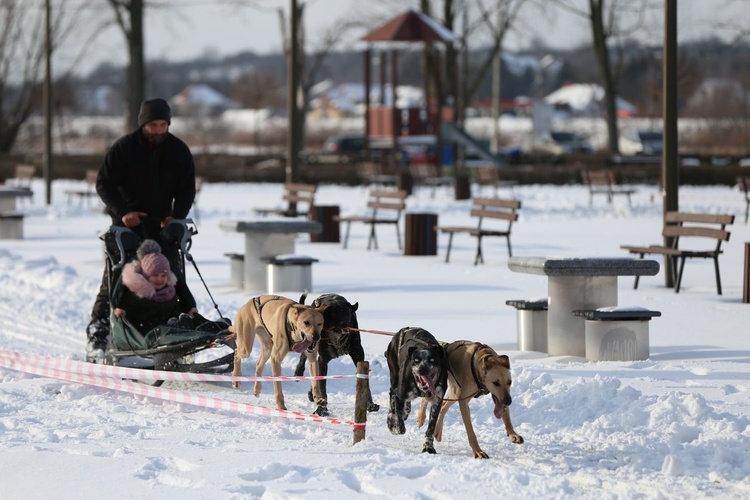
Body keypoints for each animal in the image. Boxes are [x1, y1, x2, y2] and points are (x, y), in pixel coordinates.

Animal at [388, 326, 446, 456]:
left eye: (432, 359)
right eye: (416, 360)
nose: (422, 369)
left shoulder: (436, 401)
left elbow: (431, 428)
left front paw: (428, 446)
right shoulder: (400, 395)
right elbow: (398, 415)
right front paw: (396, 427)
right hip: (394, 378)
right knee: (392, 394)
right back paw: (391, 419)